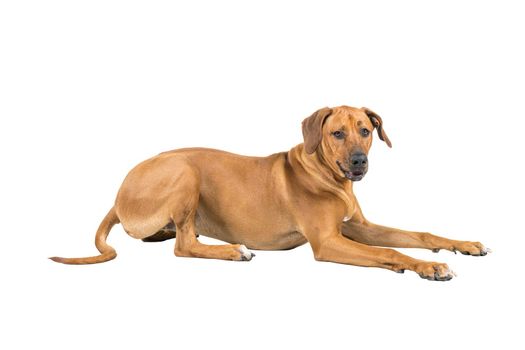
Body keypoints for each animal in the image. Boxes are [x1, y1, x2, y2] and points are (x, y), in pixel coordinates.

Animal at [51, 105, 490, 280]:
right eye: (337, 133)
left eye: (366, 131)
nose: (359, 163)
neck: (328, 176)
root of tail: (118, 193)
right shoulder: (328, 242)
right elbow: (392, 252)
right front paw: (427, 267)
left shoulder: (356, 227)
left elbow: (419, 235)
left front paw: (463, 245)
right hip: (185, 172)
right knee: (184, 245)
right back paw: (233, 250)